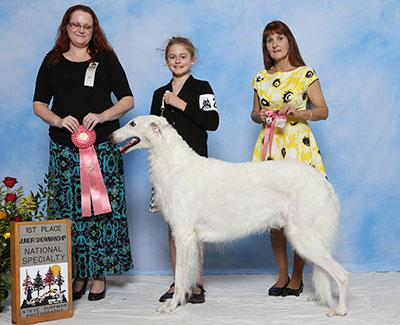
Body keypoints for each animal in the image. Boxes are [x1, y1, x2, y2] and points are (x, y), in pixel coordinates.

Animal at [110, 114, 350, 314]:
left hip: (303, 236)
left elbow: (179, 276)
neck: (175, 164)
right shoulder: (192, 239)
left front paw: (172, 306)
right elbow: (188, 275)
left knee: (342, 274)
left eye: (132, 123)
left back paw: (340, 310)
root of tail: (324, 183)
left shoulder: (184, 235)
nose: (110, 136)